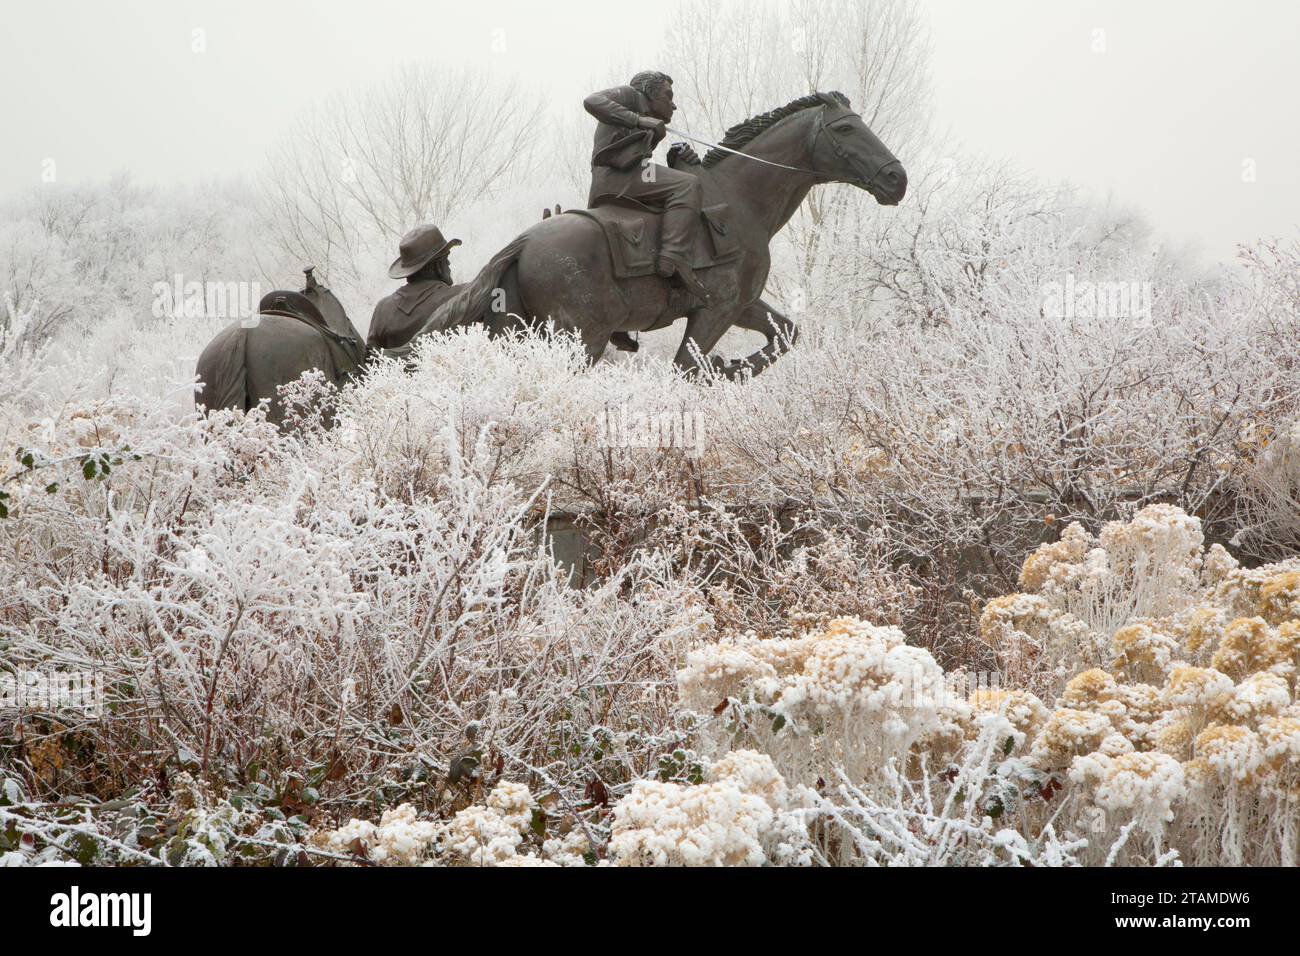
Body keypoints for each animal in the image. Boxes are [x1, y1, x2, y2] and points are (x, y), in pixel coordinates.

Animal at [416, 92, 904, 377]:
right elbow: (687, 367)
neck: (738, 199)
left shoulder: (742, 305)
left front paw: (733, 367)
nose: (896, 179)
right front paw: (724, 368)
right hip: (580, 340)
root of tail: (524, 243)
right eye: (846, 128)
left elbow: (785, 334)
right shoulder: (715, 311)